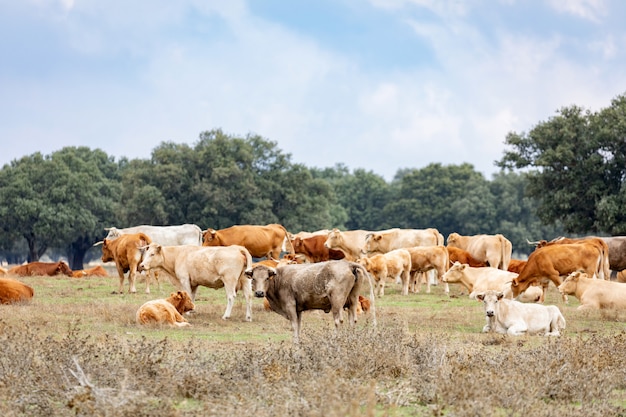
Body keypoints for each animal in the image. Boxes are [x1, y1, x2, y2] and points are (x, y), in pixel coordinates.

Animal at [241, 260, 372, 344]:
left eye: (267, 278)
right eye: (253, 279)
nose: (259, 293)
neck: (279, 279)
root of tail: (348, 263)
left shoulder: (290, 306)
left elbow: (294, 325)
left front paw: (295, 343)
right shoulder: (298, 310)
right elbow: (298, 326)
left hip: (337, 302)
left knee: (338, 321)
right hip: (352, 301)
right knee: (353, 321)